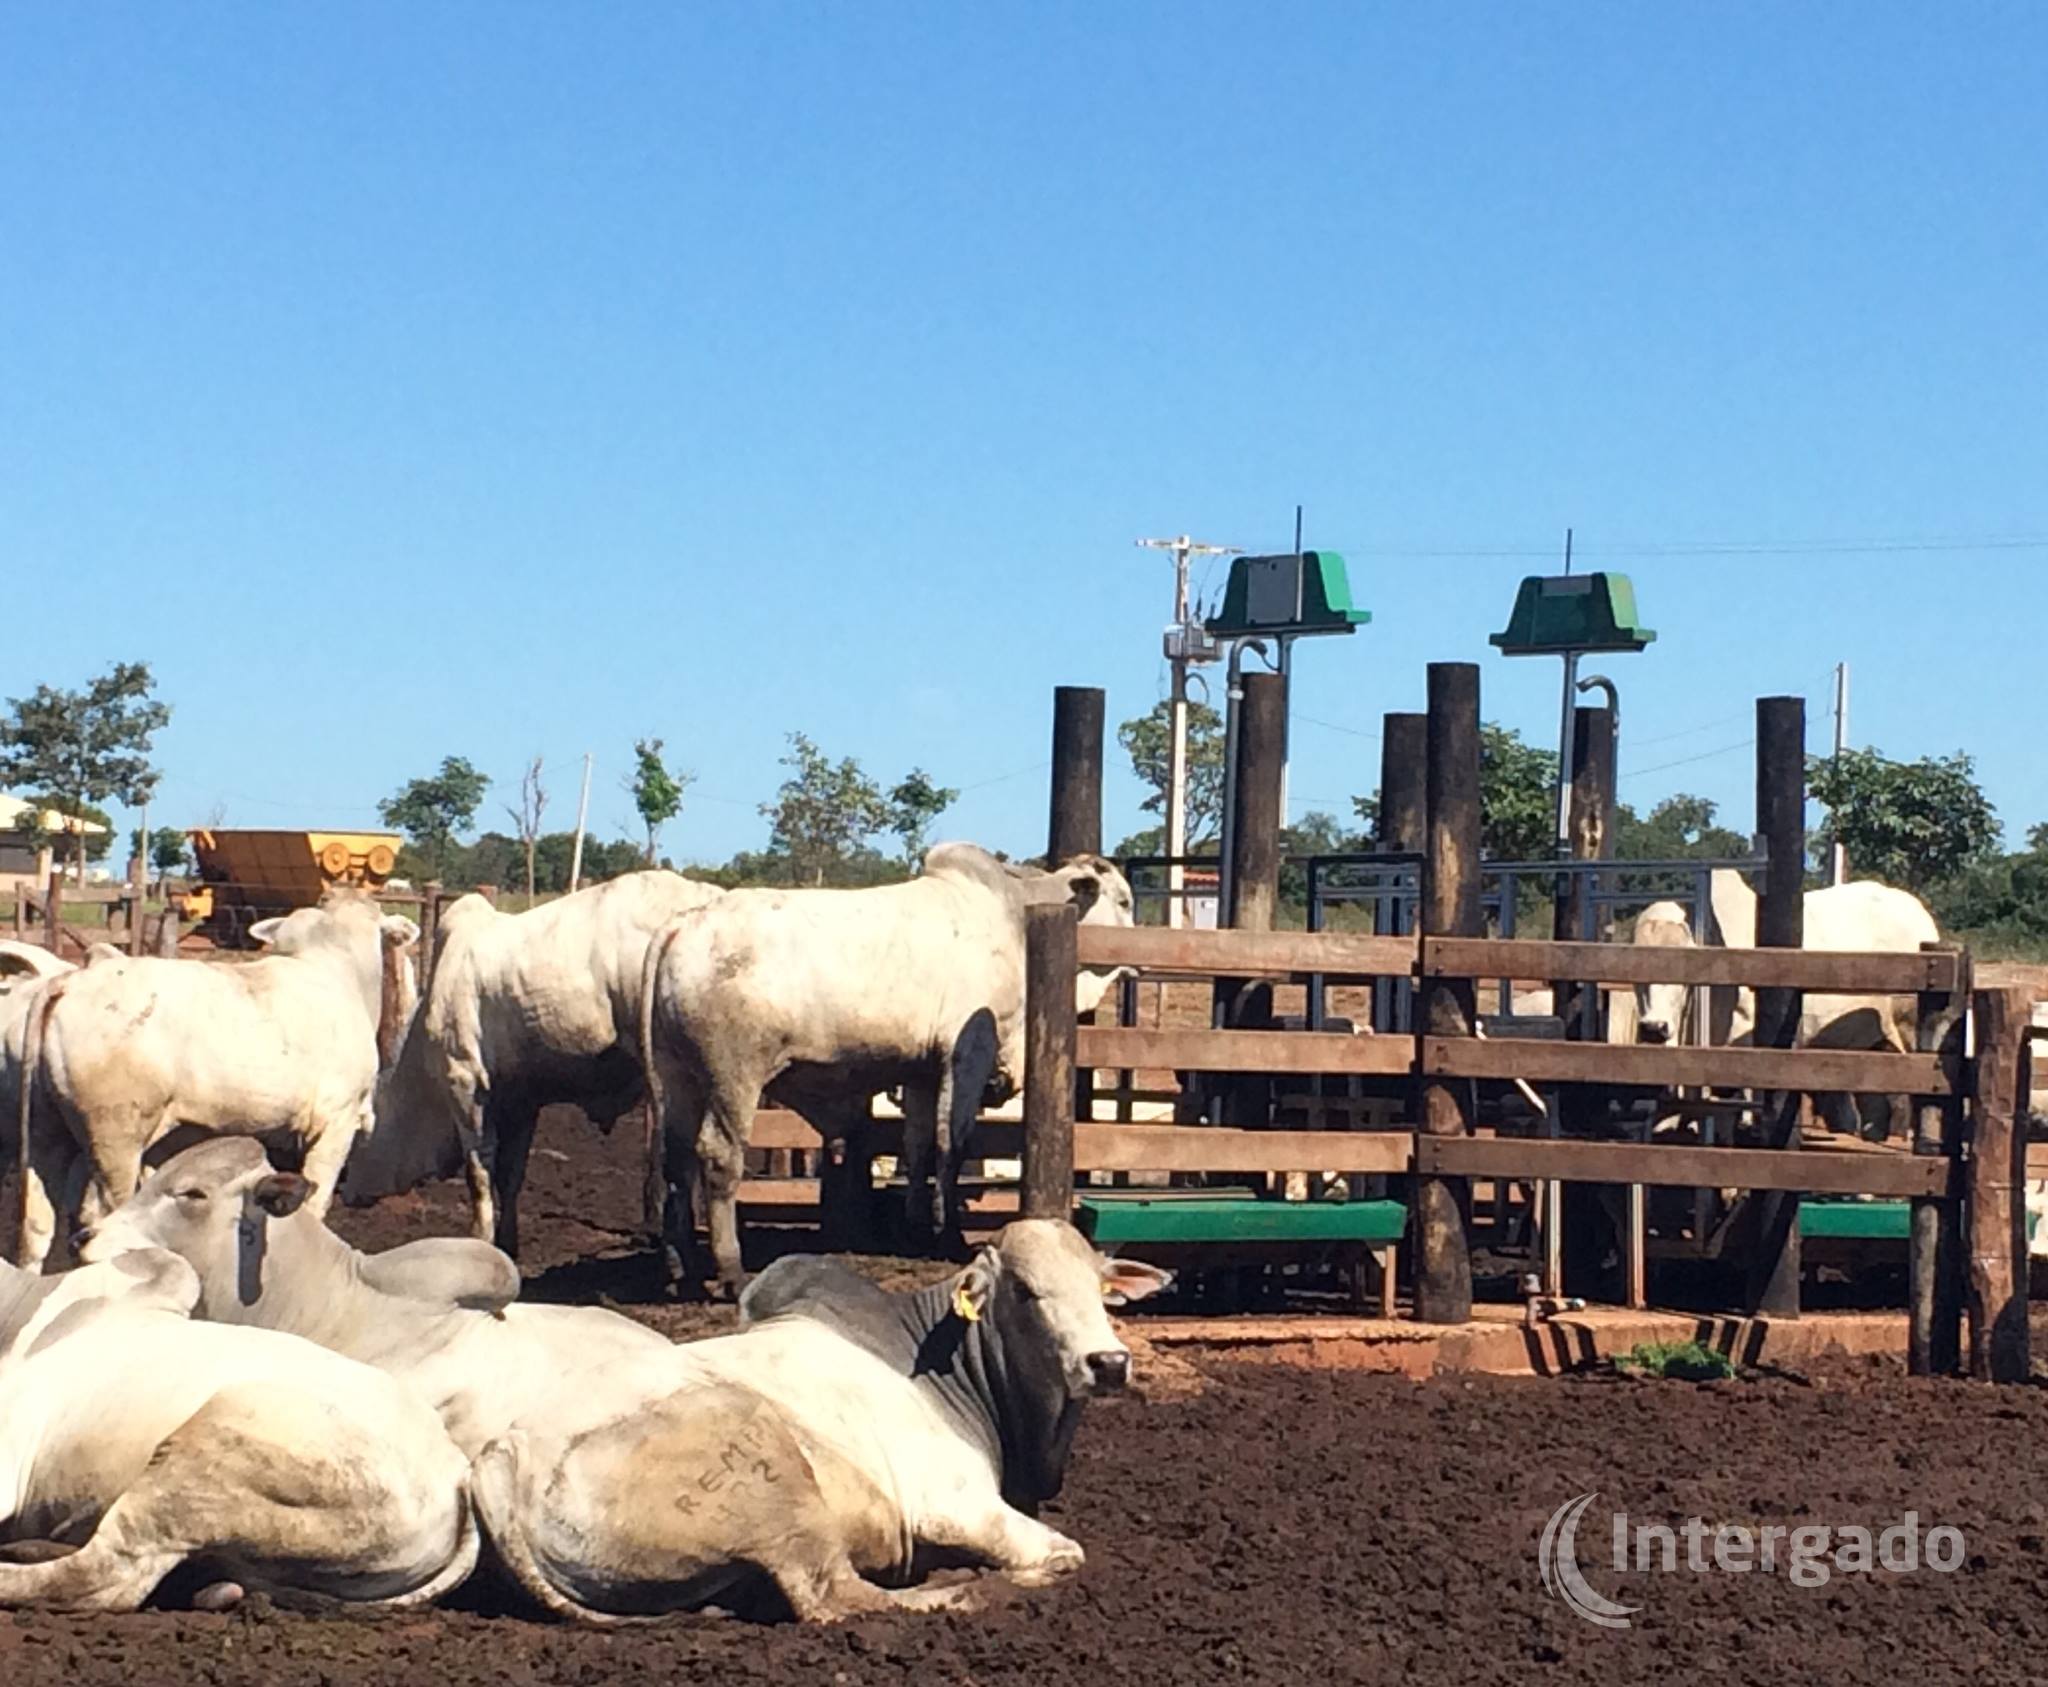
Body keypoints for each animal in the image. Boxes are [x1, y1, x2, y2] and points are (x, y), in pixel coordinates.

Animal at [350, 868, 729, 1252]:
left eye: (354, 1143)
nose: (349, 1193)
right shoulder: (521, 1100)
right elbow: (511, 1175)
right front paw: (508, 1244)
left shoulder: (464, 1082)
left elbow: (479, 1174)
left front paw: (482, 1240)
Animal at [468, 1228, 1171, 1621]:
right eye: (1025, 1291)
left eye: (1101, 1288)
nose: (1108, 1362)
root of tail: (502, 1459)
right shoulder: (956, 1507)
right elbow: (1064, 1555)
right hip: (775, 1484)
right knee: (832, 1599)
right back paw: (960, 1592)